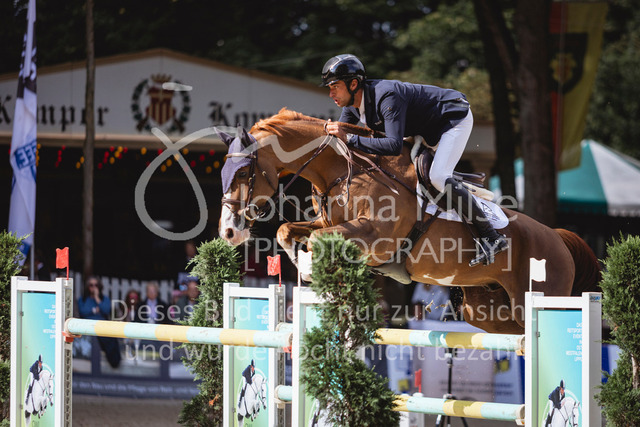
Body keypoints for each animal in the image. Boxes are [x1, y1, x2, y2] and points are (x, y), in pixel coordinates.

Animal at [218, 108, 601, 334]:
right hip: (485, 310)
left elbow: (318, 240)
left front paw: (312, 267)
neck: (341, 171)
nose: (228, 231)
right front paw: (306, 267)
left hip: (536, 294)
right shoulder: (329, 225)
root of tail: (558, 237)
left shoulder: (375, 235)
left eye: (243, 173)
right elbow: (289, 230)